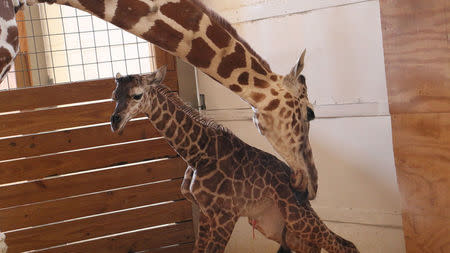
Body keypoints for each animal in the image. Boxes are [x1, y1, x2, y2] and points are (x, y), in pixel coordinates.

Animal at [110, 67, 356, 253]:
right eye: (114, 96)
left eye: (137, 95)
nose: (115, 121)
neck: (196, 155)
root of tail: (303, 190)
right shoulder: (206, 213)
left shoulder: (226, 215)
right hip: (274, 225)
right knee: (318, 247)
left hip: (296, 215)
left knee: (345, 245)